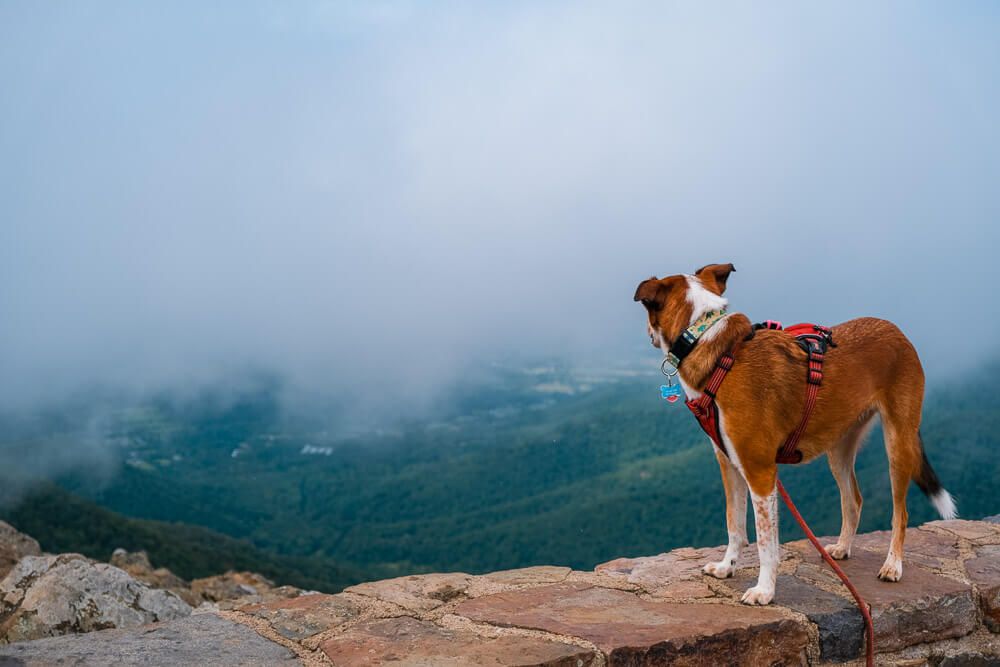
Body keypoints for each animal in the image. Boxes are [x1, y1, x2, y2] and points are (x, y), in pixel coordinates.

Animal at [632, 264, 952, 604]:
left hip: (899, 441)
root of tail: (897, 331)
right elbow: (734, 524)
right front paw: (726, 567)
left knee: (899, 512)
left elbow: (765, 542)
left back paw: (892, 565)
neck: (711, 345)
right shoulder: (730, 464)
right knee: (853, 499)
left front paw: (764, 590)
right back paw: (843, 547)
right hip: (839, 448)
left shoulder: (760, 471)